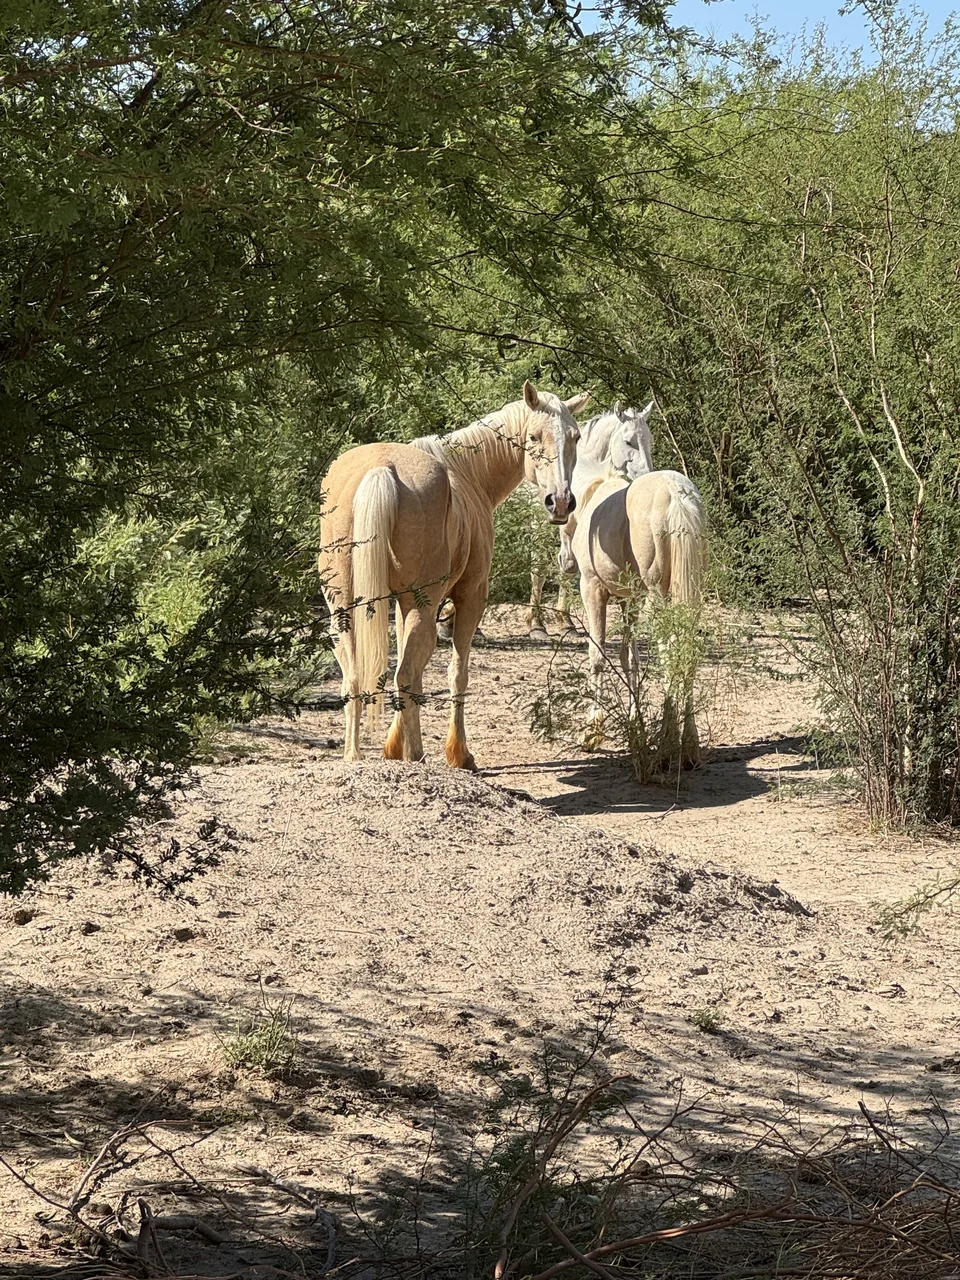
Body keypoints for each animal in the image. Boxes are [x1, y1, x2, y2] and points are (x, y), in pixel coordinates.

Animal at [318, 382, 590, 768]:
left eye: (575, 437)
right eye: (534, 436)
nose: (562, 502)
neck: (468, 474)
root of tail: (381, 469)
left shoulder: (403, 606)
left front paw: (392, 746)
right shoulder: (470, 597)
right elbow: (457, 673)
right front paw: (459, 754)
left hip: (345, 609)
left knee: (357, 677)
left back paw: (354, 756)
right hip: (421, 607)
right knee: (405, 674)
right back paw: (416, 755)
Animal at [527, 402, 656, 633]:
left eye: (650, 441)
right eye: (628, 441)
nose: (647, 475)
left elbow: (568, 569)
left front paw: (566, 622)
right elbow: (558, 566)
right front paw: (542, 624)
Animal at [565, 456, 708, 769]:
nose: (564, 561)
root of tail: (676, 494)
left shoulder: (592, 589)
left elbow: (597, 654)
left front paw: (592, 731)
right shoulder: (629, 600)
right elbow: (629, 658)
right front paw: (635, 725)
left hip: (658, 598)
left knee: (670, 655)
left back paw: (668, 746)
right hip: (688, 595)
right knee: (687, 654)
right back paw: (689, 748)